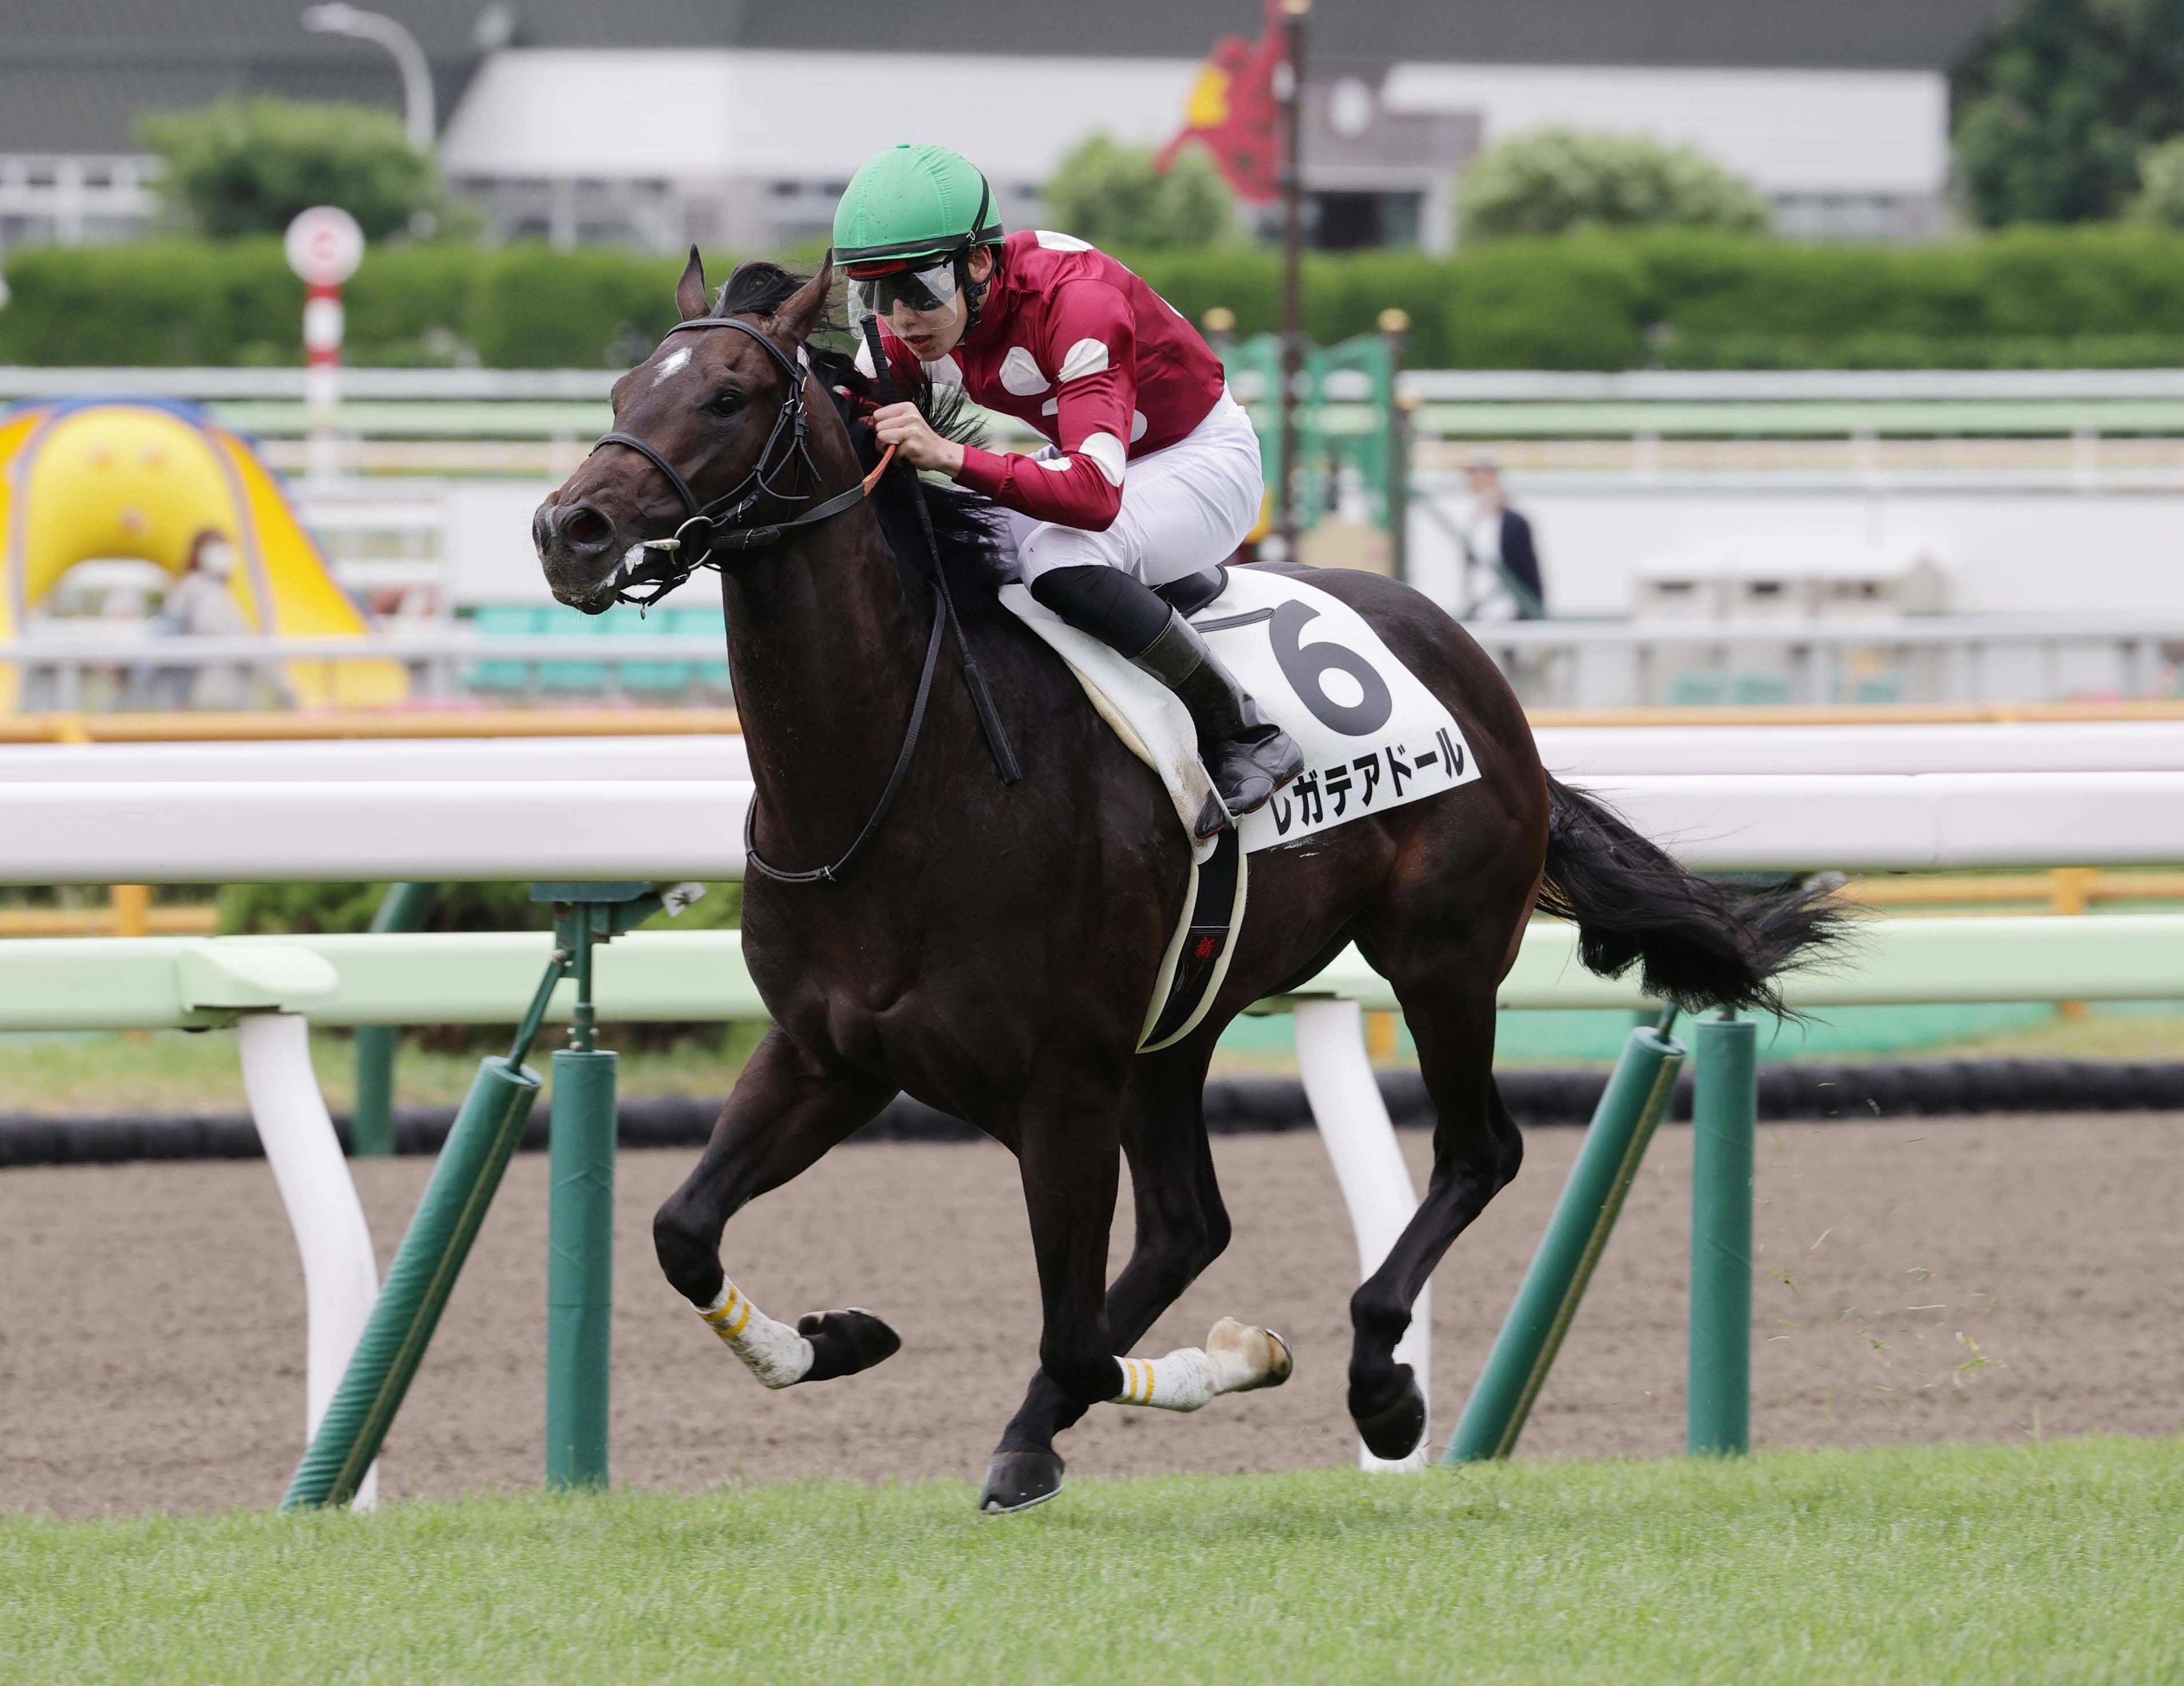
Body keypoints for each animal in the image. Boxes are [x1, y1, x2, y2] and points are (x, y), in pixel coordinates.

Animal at [532, 253, 1839, 1513]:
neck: (901, 775)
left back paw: (1378, 1385)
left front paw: (1250, 1358)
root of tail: (1469, 658)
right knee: (1186, 1227)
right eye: (622, 390)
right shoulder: (832, 1052)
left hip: (1441, 955)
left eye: (726, 396)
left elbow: (1071, 1338)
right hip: (1181, 1018)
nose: (570, 527)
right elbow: (681, 1231)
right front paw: (835, 1338)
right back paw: (1037, 1438)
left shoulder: (1061, 1088)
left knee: (1477, 1155)